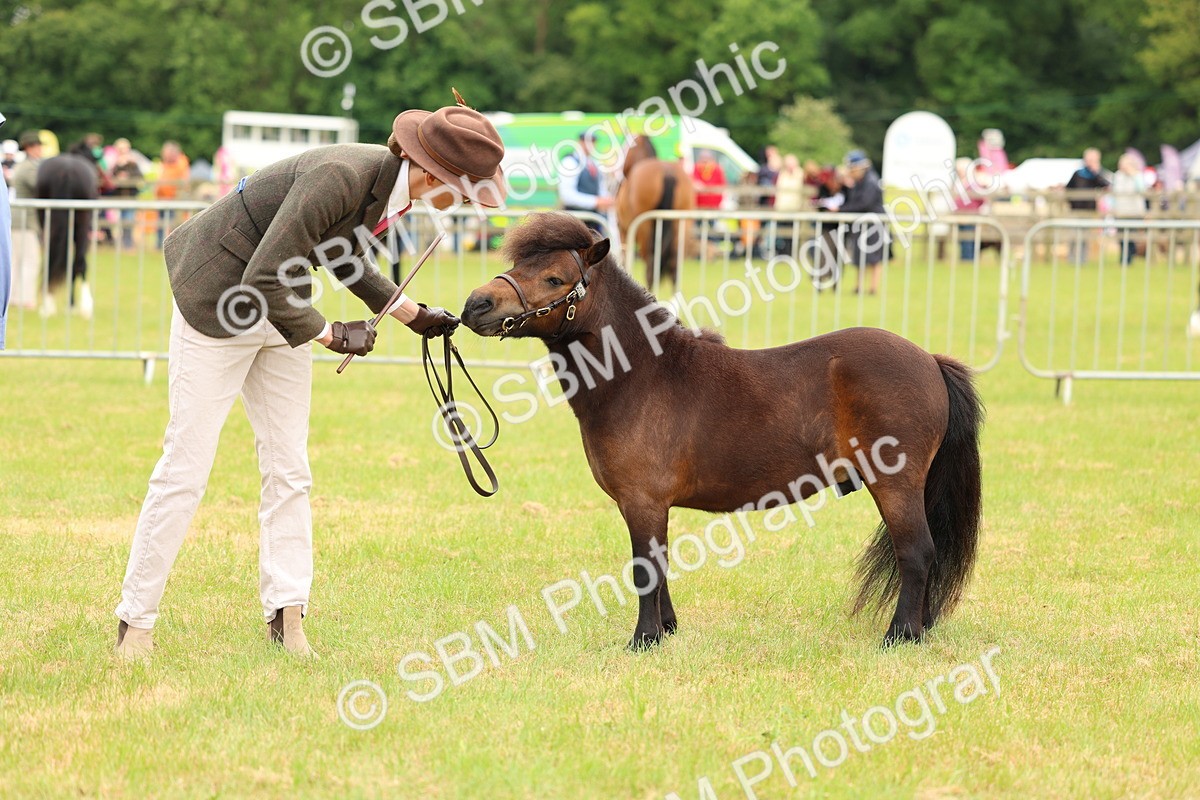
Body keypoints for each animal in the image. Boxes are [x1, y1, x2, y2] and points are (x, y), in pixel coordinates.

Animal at [462, 213, 984, 650]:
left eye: (554, 278)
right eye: (517, 264)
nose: (475, 304)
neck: (641, 376)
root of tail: (929, 360)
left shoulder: (642, 501)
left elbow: (645, 569)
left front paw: (644, 640)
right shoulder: (652, 507)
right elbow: (661, 565)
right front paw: (667, 630)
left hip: (895, 483)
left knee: (916, 552)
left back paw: (901, 636)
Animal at [616, 135, 696, 289]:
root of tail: (667, 172)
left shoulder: (624, 231)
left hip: (644, 229)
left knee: (650, 267)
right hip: (682, 225)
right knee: (674, 267)